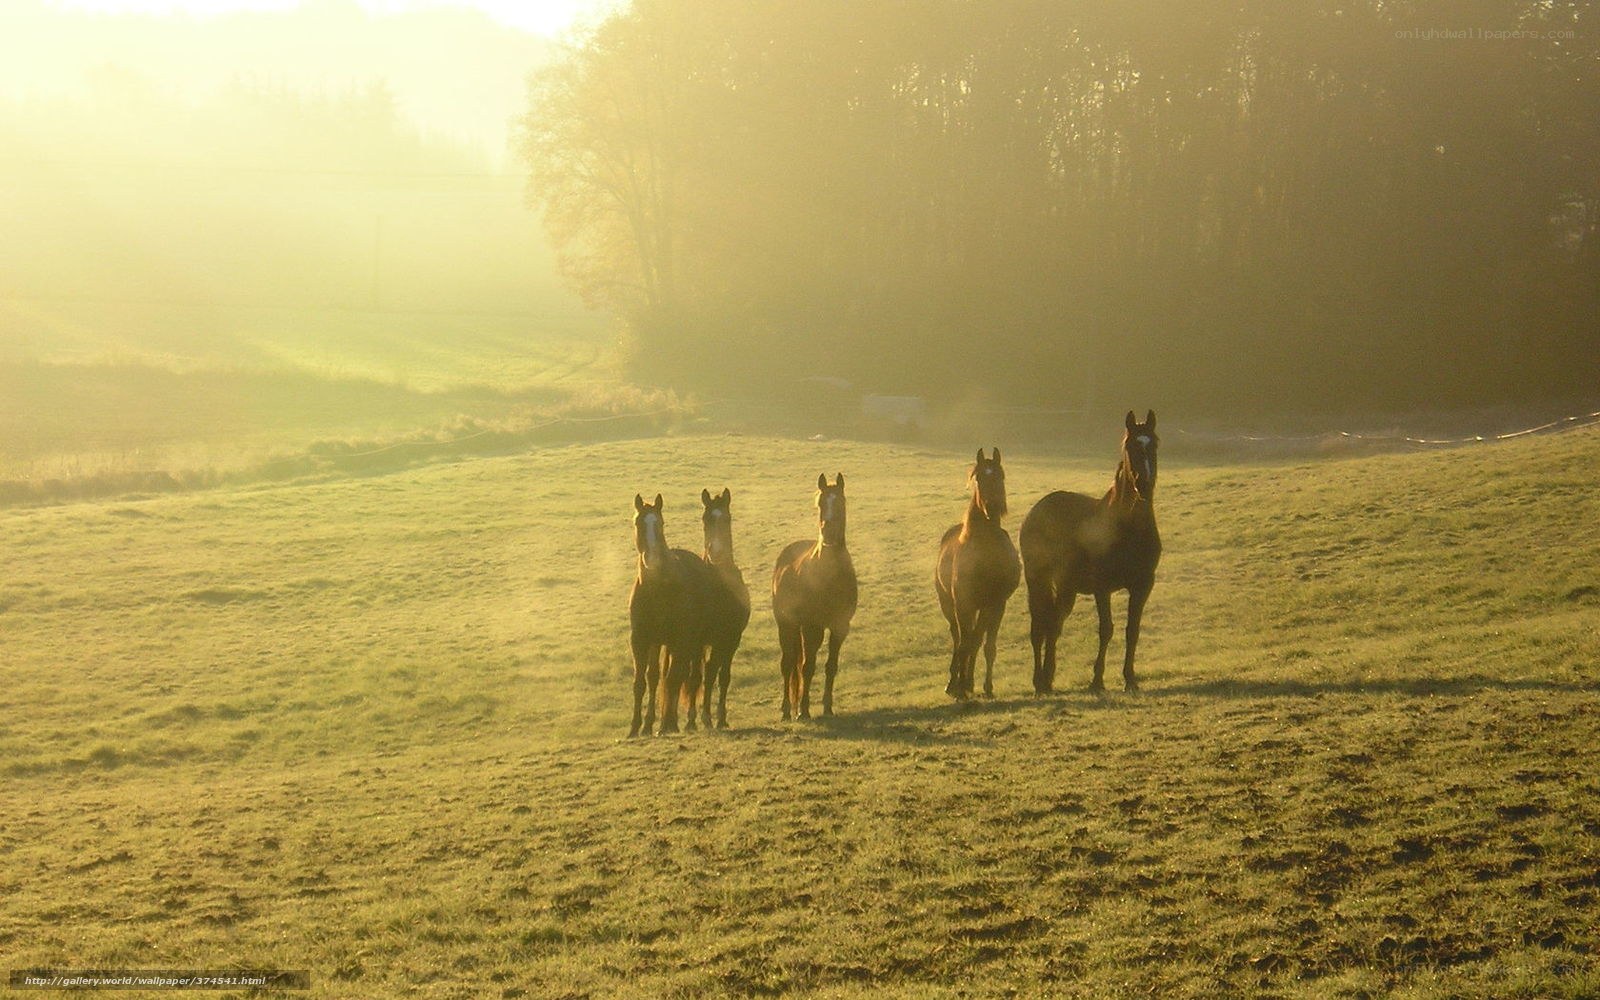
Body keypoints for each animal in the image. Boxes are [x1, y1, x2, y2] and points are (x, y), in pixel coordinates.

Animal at [627, 493, 717, 736]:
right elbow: (641, 682)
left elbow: (674, 679)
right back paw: (650, 724)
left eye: (660, 523)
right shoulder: (640, 639)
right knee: (656, 677)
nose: (652, 560)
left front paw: (668, 724)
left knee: (686, 676)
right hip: (660, 643)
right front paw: (635, 728)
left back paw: (680, 722)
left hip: (690, 644)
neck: (658, 589)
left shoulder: (682, 639)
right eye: (638, 523)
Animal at [772, 473, 858, 720]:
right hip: (787, 625)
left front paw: (828, 707)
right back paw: (787, 710)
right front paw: (803, 710)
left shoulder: (840, 627)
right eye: (820, 504)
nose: (827, 535)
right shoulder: (813, 627)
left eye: (840, 502)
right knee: (788, 664)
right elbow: (807, 667)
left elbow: (831, 666)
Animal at [935, 448, 1021, 699]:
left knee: (974, 638)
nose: (993, 507)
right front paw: (959, 687)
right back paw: (954, 682)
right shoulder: (964, 604)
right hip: (950, 605)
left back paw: (968, 682)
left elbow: (985, 645)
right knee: (958, 638)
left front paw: (986, 686)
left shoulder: (997, 604)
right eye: (979, 478)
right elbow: (965, 643)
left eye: (1001, 476)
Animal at [1019, 410, 1162, 694]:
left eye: (1154, 445)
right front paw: (1097, 680)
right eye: (1130, 446)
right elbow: (1106, 629)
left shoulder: (1142, 585)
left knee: (1053, 624)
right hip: (1038, 581)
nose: (1144, 486)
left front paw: (1130, 679)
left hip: (1066, 588)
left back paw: (1048, 678)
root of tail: (1036, 511)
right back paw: (1039, 681)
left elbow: (1133, 630)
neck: (1127, 529)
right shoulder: (1102, 587)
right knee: (1039, 627)